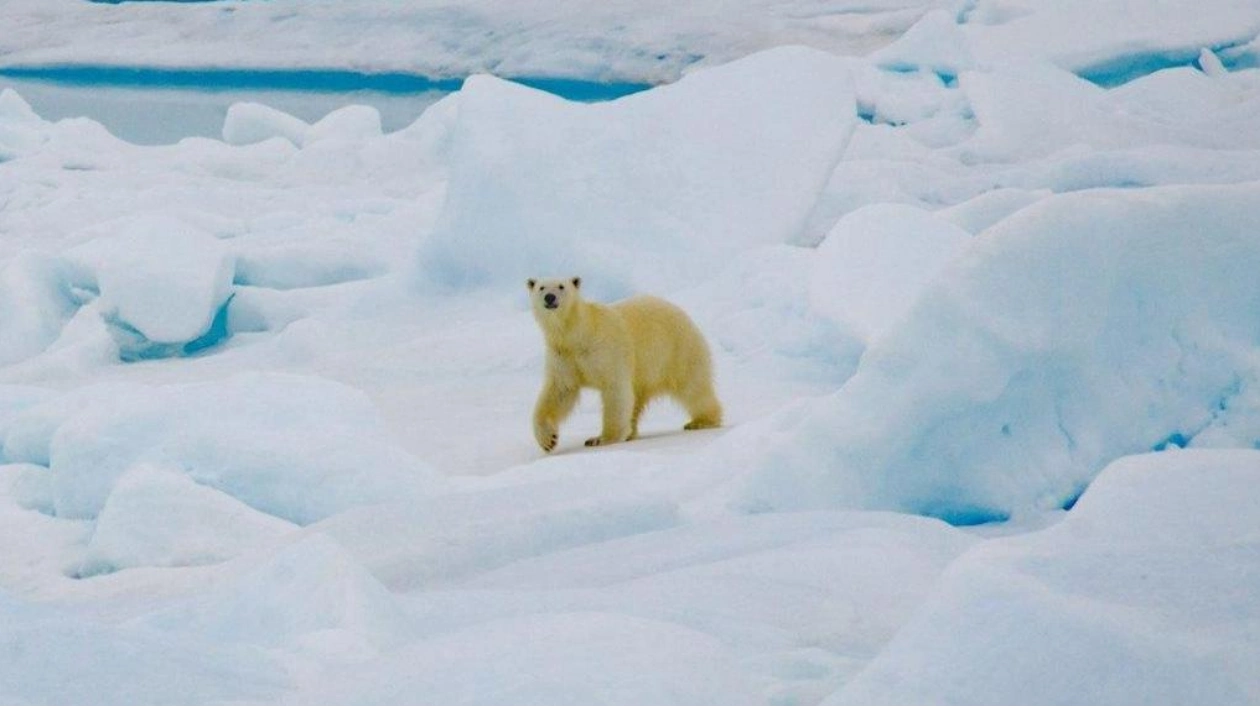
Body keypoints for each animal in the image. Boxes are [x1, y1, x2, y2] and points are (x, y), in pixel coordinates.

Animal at [524, 277, 720, 451]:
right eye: (541, 287)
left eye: (561, 286)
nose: (550, 297)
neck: (579, 333)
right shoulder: (564, 355)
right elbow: (560, 391)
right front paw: (548, 440)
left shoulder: (606, 349)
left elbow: (615, 389)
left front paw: (601, 439)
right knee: (637, 399)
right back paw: (631, 433)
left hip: (677, 351)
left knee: (693, 388)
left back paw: (702, 421)